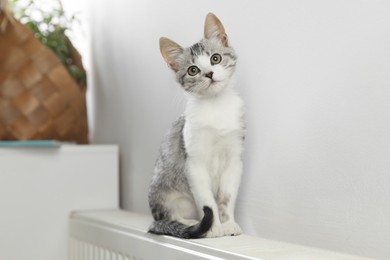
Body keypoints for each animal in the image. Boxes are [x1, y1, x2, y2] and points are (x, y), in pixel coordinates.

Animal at [149, 13, 244, 239]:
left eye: (215, 58)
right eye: (193, 70)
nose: (209, 74)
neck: (216, 107)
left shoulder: (234, 161)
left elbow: (226, 198)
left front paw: (228, 223)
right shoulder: (193, 164)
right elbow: (207, 200)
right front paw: (214, 227)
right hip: (165, 193)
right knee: (166, 218)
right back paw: (189, 223)